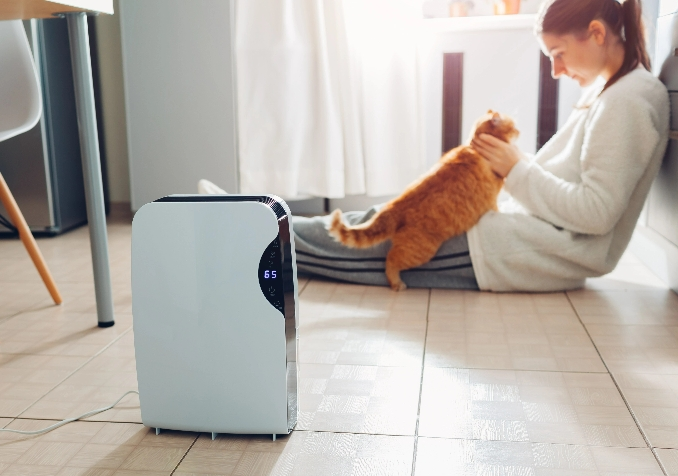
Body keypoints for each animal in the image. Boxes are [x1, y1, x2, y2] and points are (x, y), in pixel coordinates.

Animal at [330, 110, 520, 290]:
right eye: (513, 126)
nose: (519, 131)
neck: (474, 148)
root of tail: (395, 206)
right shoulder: (492, 201)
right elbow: (496, 209)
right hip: (421, 251)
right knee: (390, 260)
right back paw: (397, 283)